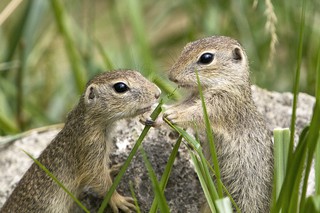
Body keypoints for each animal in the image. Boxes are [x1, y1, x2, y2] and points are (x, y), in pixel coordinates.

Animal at [0, 70, 160, 213]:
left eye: (138, 73)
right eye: (120, 87)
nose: (158, 93)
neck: (85, 121)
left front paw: (113, 169)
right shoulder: (90, 149)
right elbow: (99, 180)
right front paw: (118, 200)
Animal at [164, 35, 274, 212]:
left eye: (206, 58)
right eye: (186, 47)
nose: (172, 76)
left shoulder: (221, 106)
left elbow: (197, 114)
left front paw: (174, 115)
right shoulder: (193, 99)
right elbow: (182, 106)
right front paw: (157, 114)